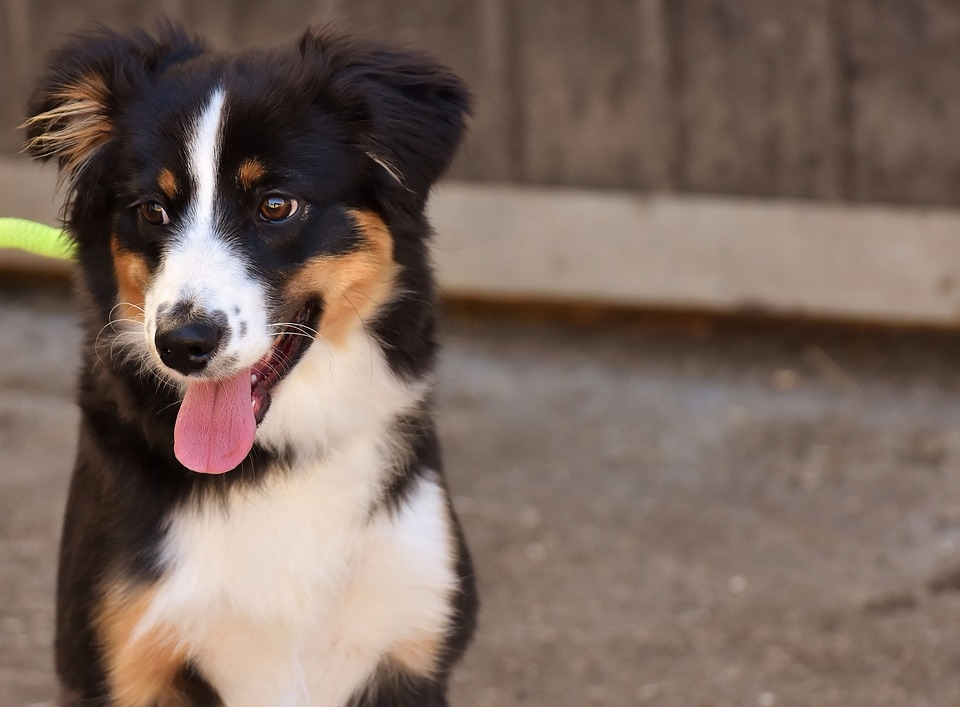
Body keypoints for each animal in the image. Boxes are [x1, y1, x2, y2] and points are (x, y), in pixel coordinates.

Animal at [28, 23, 478, 707]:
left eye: (274, 205)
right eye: (153, 210)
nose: (182, 342)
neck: (275, 462)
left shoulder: (407, 642)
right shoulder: (119, 659)